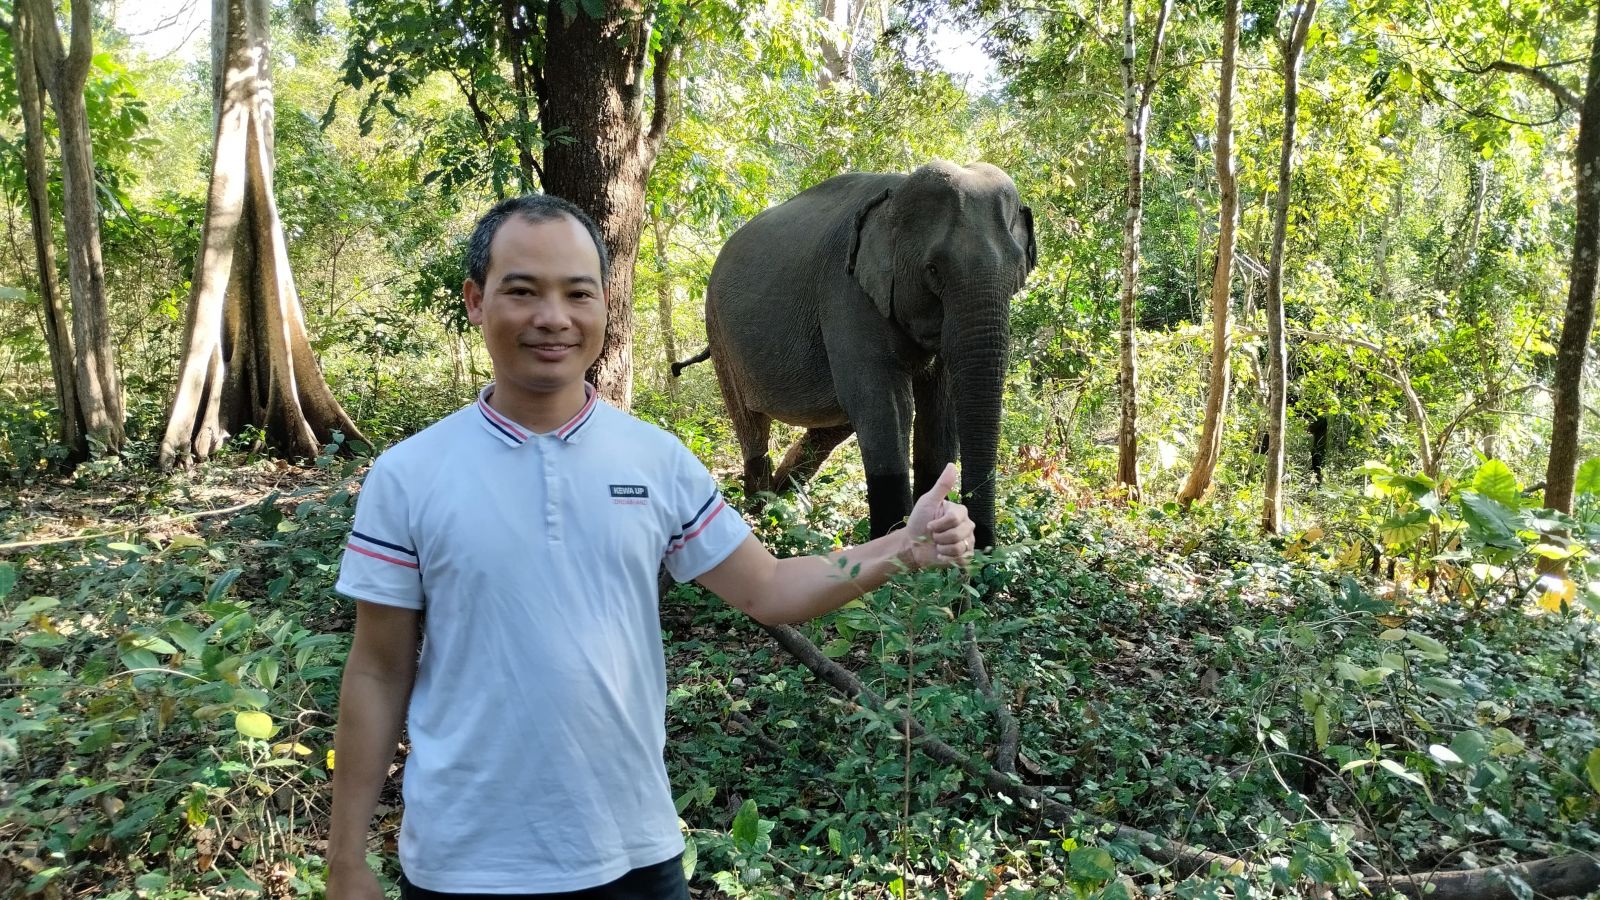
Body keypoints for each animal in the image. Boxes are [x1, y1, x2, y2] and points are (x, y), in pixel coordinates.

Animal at [676, 160, 1036, 549]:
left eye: (1018, 271)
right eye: (933, 269)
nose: (983, 548)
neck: (897, 193)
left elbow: (939, 408)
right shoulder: (847, 291)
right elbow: (886, 405)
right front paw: (895, 548)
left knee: (832, 428)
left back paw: (777, 501)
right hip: (720, 333)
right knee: (752, 425)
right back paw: (756, 516)